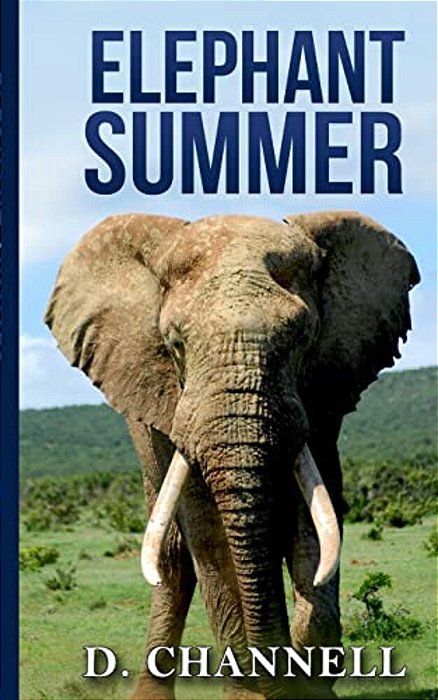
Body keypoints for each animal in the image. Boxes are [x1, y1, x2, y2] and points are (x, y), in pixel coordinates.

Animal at [45, 211, 419, 700]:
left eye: (302, 340)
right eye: (175, 345)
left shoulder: (320, 394)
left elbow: (316, 520)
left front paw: (311, 685)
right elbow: (210, 533)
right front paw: (252, 693)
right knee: (171, 555)